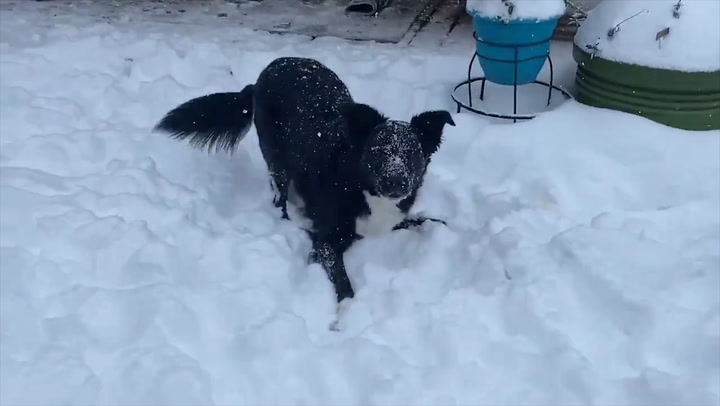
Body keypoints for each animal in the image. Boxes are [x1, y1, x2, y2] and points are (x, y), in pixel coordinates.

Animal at [155, 57, 452, 310]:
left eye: (412, 154)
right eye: (377, 151)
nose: (396, 182)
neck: (360, 185)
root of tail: (269, 69)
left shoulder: (391, 219)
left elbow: (426, 220)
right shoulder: (326, 241)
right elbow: (342, 281)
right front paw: (347, 312)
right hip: (276, 159)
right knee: (279, 197)